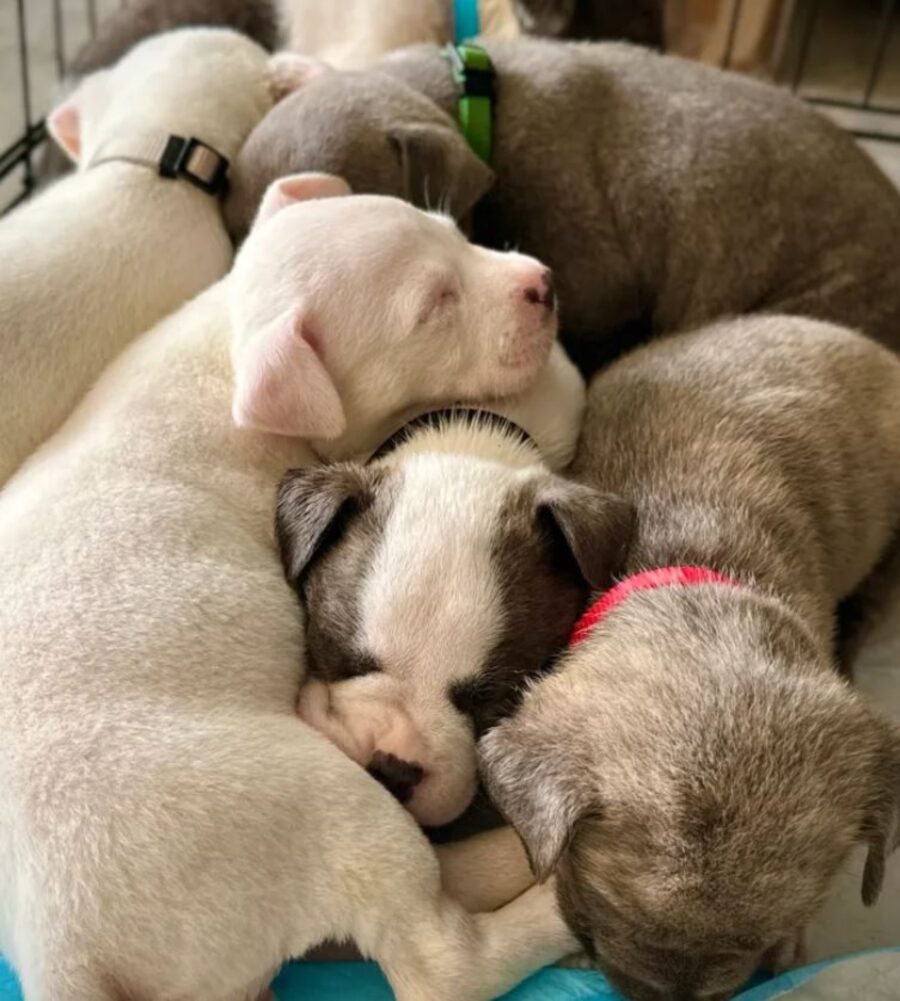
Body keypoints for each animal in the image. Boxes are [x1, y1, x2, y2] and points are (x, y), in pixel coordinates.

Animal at [0, 176, 576, 1001]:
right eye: (433, 306)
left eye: (451, 231)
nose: (544, 284)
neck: (230, 346)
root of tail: (65, 952)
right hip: (324, 805)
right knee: (441, 956)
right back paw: (546, 895)